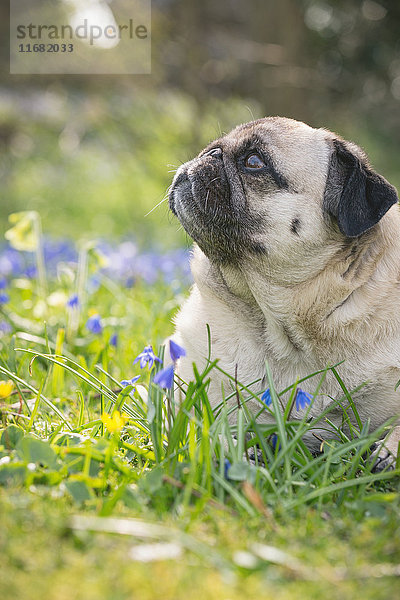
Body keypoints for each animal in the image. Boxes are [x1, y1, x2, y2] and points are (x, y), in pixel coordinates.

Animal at [168, 117, 400, 472]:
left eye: (254, 161)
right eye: (212, 147)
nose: (210, 154)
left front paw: (389, 451)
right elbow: (209, 428)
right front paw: (237, 451)